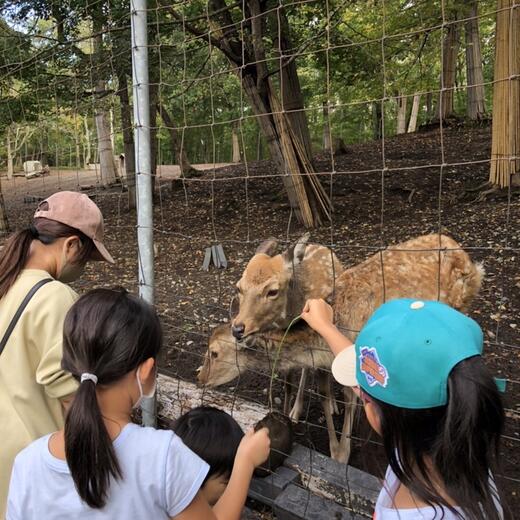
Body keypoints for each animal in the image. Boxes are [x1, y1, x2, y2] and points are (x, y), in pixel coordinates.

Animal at [228, 234, 484, 462]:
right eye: (238, 287)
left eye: (272, 290)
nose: (238, 328)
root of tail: (467, 257)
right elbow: (320, 390)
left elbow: (349, 397)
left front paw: (342, 453)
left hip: (461, 305)